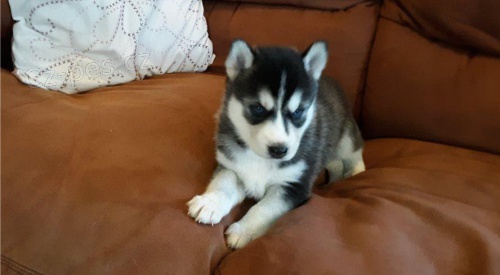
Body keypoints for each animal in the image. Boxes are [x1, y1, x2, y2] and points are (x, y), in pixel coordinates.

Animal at [186, 40, 366, 250]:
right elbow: (224, 183)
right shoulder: (231, 166)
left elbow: (265, 208)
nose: (279, 150)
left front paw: (243, 231)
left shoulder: (294, 185)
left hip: (346, 138)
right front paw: (210, 202)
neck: (260, 158)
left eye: (298, 112)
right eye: (258, 108)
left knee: (354, 153)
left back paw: (356, 172)